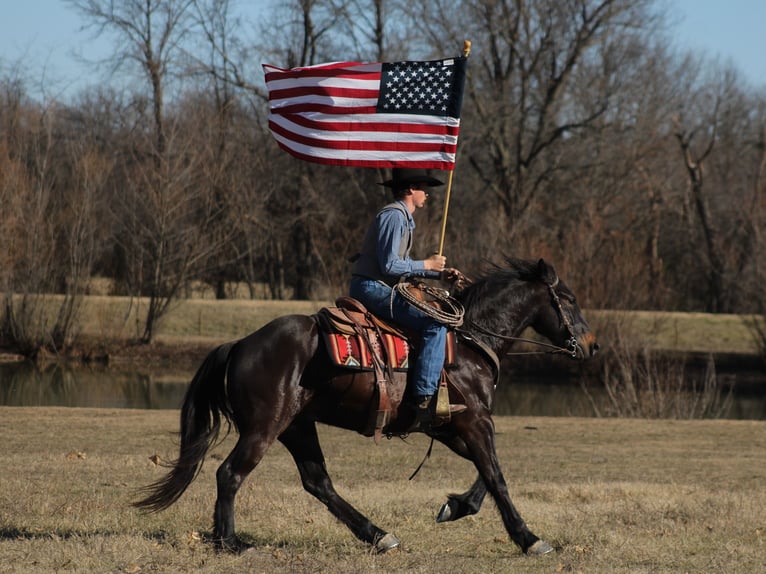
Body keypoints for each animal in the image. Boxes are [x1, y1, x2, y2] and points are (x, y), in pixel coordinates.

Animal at [134, 257, 599, 556]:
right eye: (569, 299)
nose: (592, 345)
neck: (469, 341)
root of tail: (241, 344)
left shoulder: (451, 427)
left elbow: (486, 476)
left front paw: (454, 507)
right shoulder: (475, 422)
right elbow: (497, 477)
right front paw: (529, 539)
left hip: (298, 426)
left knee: (318, 482)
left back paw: (377, 535)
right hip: (264, 427)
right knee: (230, 474)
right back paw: (229, 542)